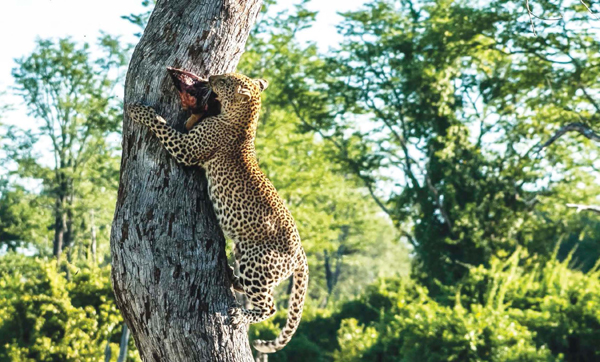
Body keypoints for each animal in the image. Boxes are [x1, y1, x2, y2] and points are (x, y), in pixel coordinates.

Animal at [127, 71, 310, 354]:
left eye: (224, 82)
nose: (211, 77)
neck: (245, 122)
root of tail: (301, 254)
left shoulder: (186, 150)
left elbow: (161, 124)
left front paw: (139, 111)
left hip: (257, 264)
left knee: (269, 306)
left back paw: (241, 315)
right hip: (244, 254)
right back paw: (232, 277)